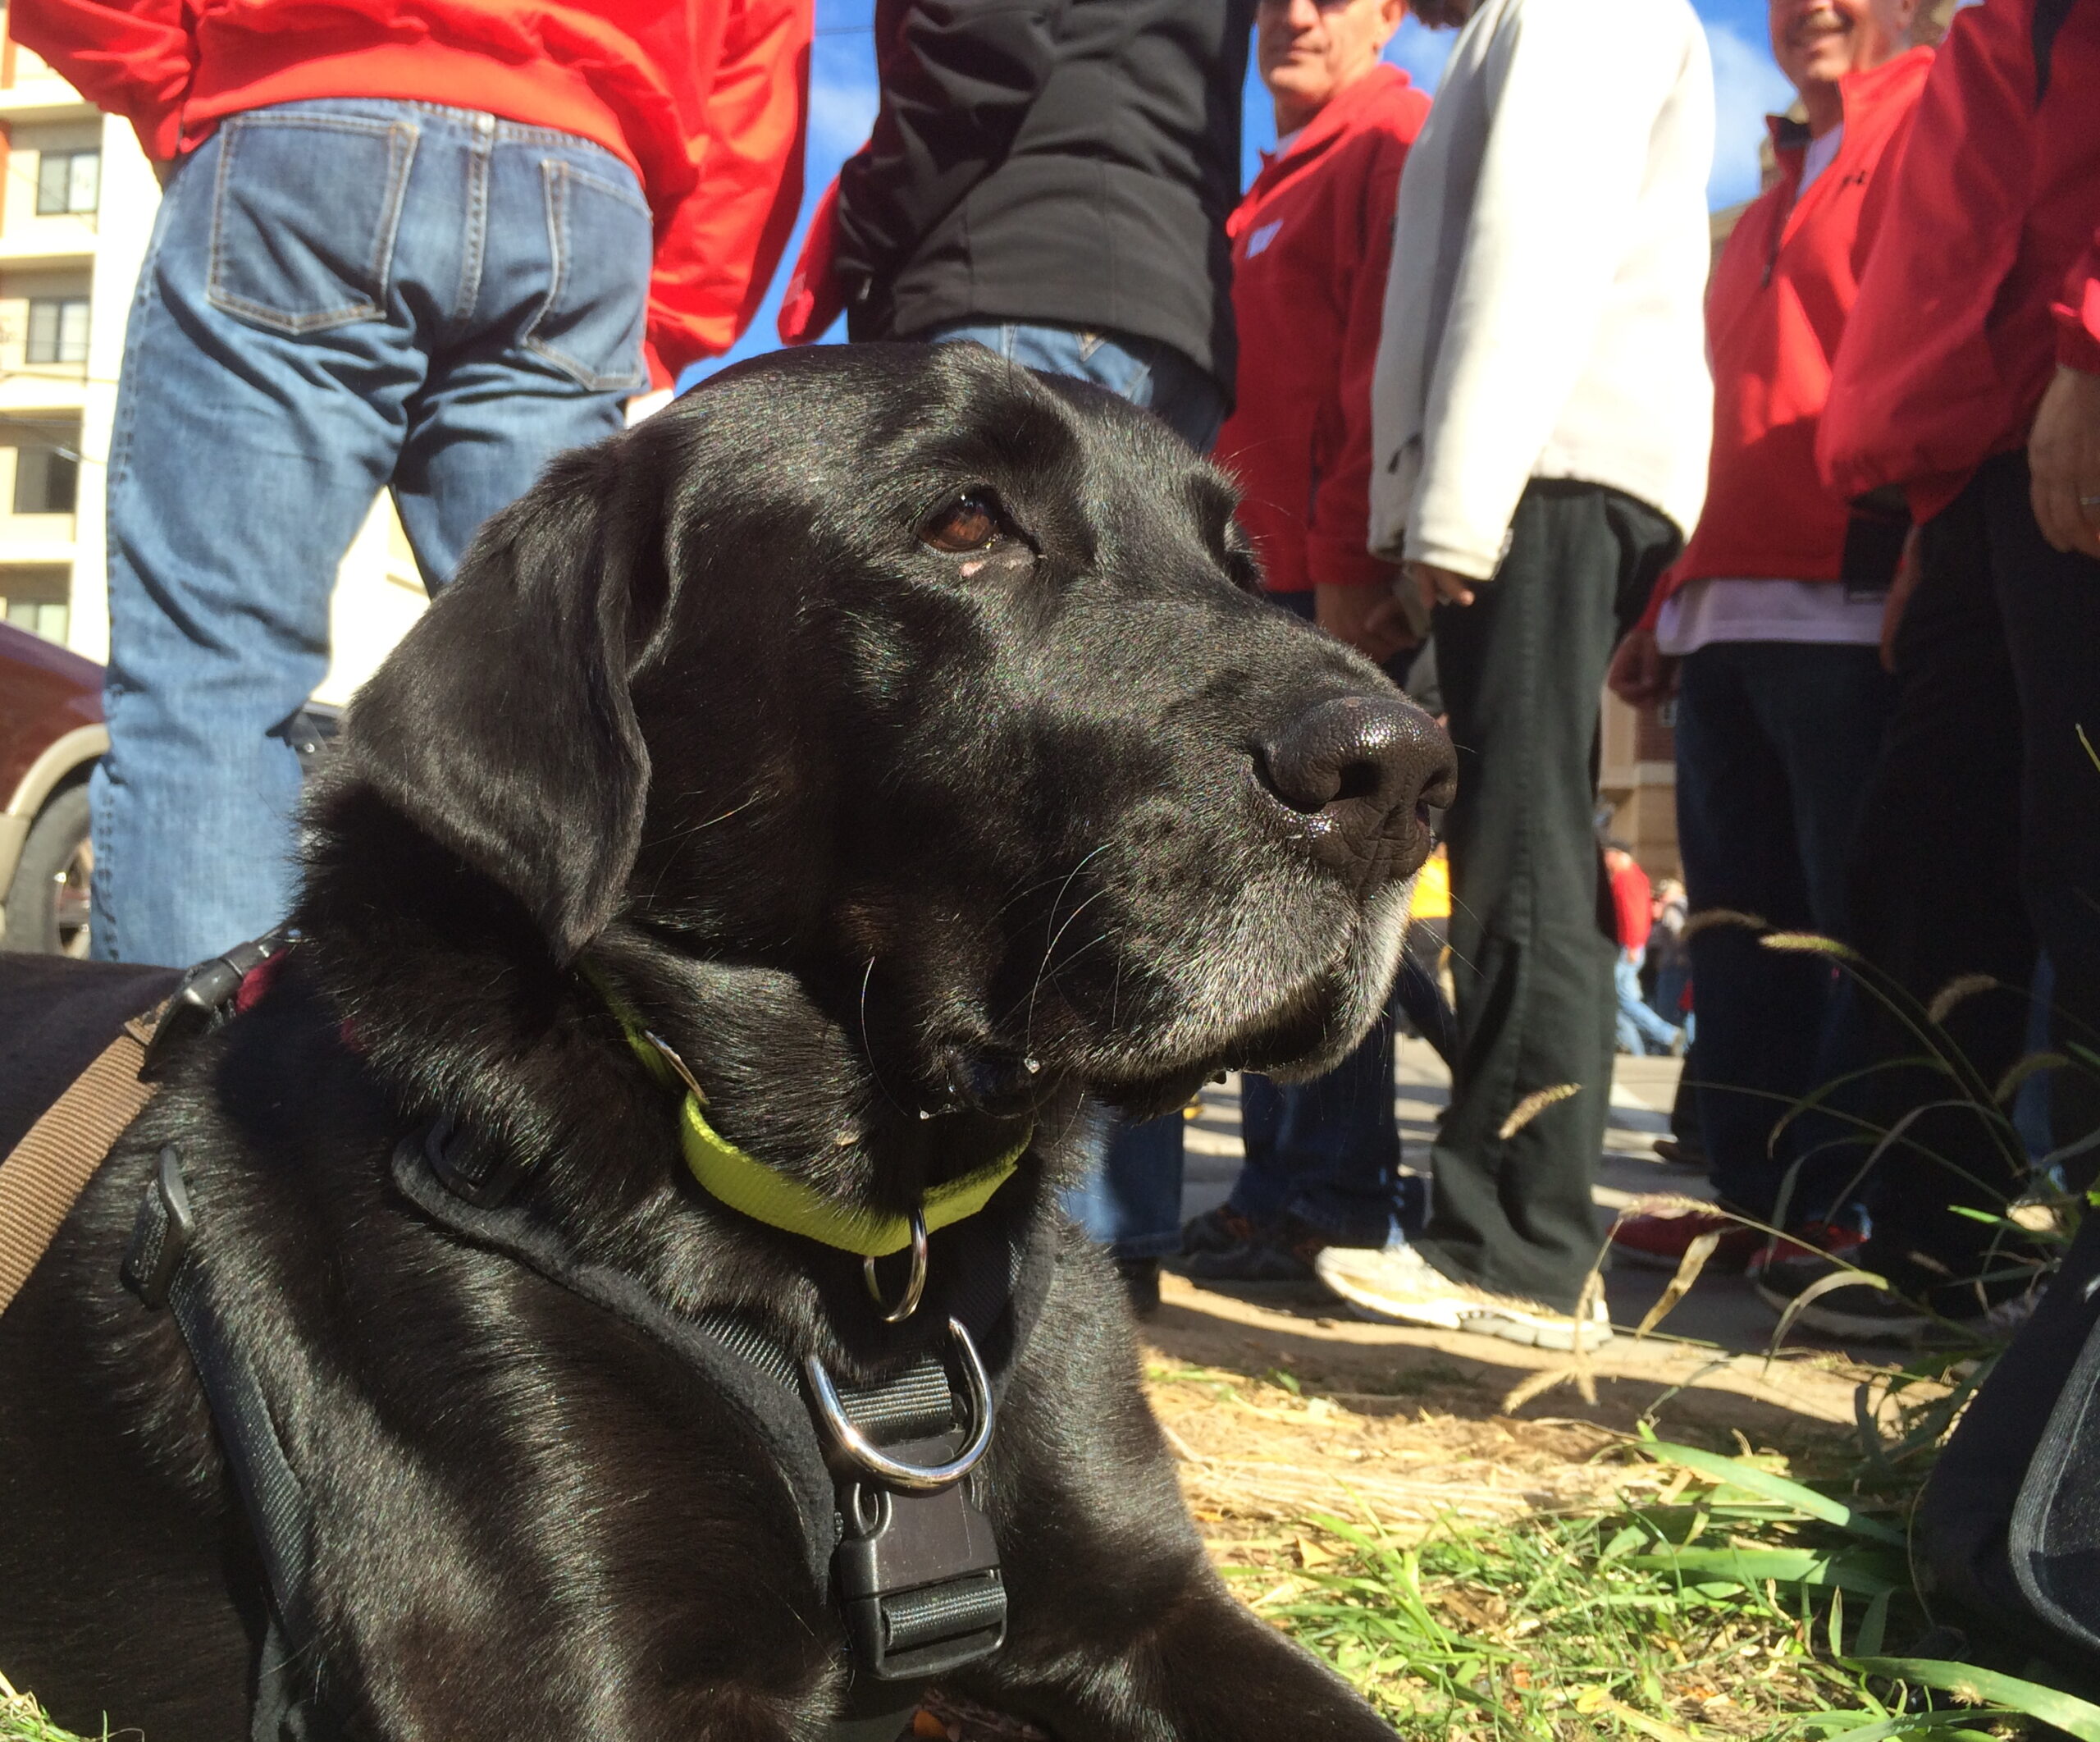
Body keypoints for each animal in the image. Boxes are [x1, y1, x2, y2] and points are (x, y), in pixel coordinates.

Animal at [0, 342, 1451, 1741]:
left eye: (1241, 565)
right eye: (965, 520)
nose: (1408, 773)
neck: (873, 1267)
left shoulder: (1151, 1606)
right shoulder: (570, 1686)